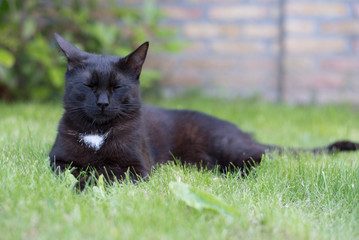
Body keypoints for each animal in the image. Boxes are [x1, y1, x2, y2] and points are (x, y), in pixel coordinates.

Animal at [49, 34, 358, 188]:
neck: (98, 132)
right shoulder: (57, 160)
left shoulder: (136, 167)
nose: (102, 103)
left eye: (116, 87)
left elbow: (104, 173)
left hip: (228, 146)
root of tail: (243, 132)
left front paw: (84, 185)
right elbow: (74, 169)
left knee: (262, 159)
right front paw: (79, 182)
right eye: (89, 86)